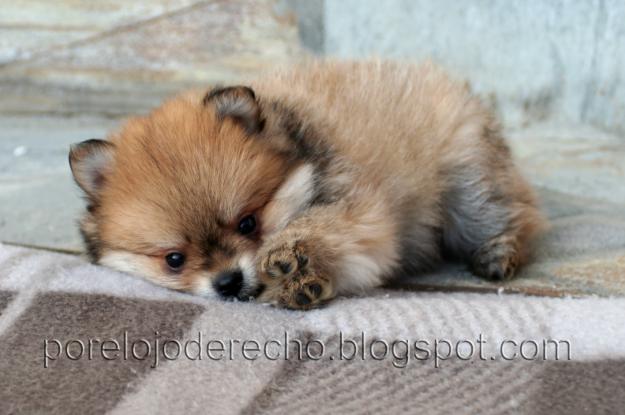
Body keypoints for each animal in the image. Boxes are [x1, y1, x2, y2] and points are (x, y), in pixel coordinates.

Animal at [70, 60, 544, 310]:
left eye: (248, 223)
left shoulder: (359, 211)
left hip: (468, 175)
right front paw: (299, 280)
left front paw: (293, 258)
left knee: (510, 212)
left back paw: (498, 252)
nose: (227, 282)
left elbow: (329, 230)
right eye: (174, 259)